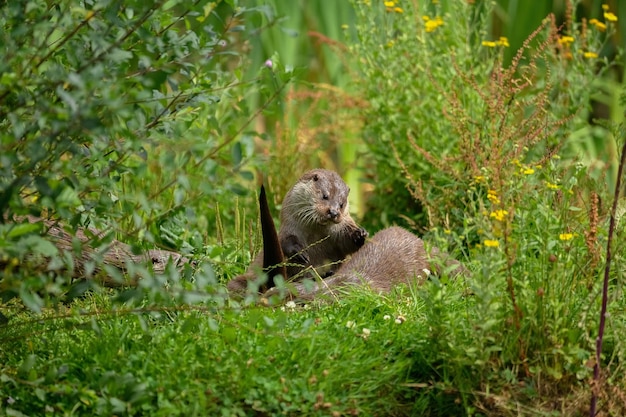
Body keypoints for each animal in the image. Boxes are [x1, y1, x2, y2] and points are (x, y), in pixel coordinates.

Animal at [228, 167, 366, 294]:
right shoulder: (289, 226)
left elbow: (347, 244)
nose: (333, 212)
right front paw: (300, 253)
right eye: (325, 196)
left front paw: (360, 234)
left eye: (342, 204)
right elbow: (286, 241)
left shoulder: (342, 229)